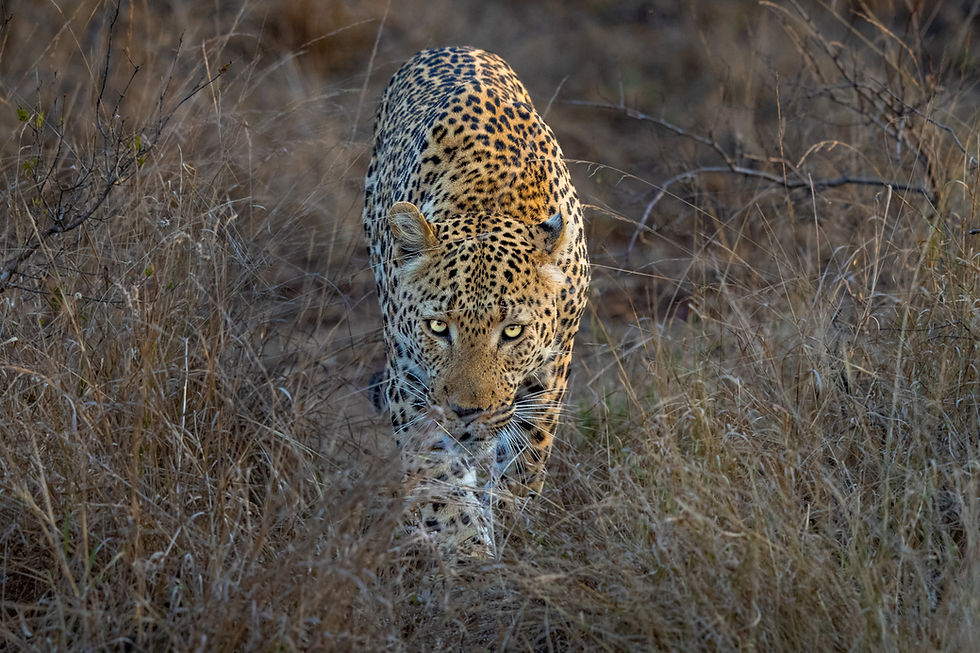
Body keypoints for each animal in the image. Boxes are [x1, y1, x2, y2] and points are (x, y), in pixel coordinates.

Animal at [363, 46, 589, 559]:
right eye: (437, 328)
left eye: (512, 332)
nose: (467, 412)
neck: (490, 203)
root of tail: (451, 47)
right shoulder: (411, 380)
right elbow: (440, 479)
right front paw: (466, 552)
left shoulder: (549, 375)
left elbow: (524, 462)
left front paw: (510, 529)